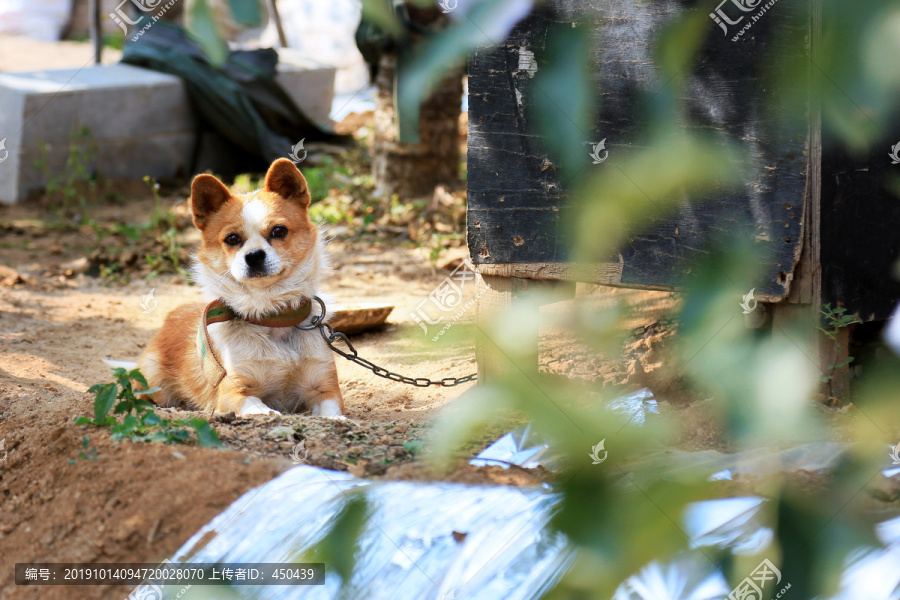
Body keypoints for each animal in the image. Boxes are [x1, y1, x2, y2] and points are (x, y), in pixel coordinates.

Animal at [135, 157, 342, 414]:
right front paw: (270, 413)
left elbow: (331, 412)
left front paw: (338, 420)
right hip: (155, 383)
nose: (253, 255)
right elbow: (258, 407)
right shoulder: (233, 392)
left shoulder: (325, 388)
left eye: (279, 231)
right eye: (232, 239)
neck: (271, 317)